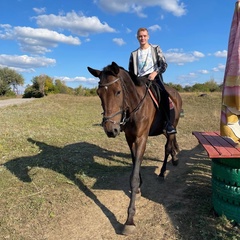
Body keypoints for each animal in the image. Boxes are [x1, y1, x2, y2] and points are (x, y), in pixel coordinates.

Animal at [87, 61, 182, 234]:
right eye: (98, 93)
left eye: (118, 92)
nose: (110, 129)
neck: (134, 107)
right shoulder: (130, 139)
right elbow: (134, 166)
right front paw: (137, 190)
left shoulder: (141, 138)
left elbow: (134, 177)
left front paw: (129, 220)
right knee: (171, 142)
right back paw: (175, 157)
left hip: (173, 124)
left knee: (167, 146)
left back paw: (163, 171)